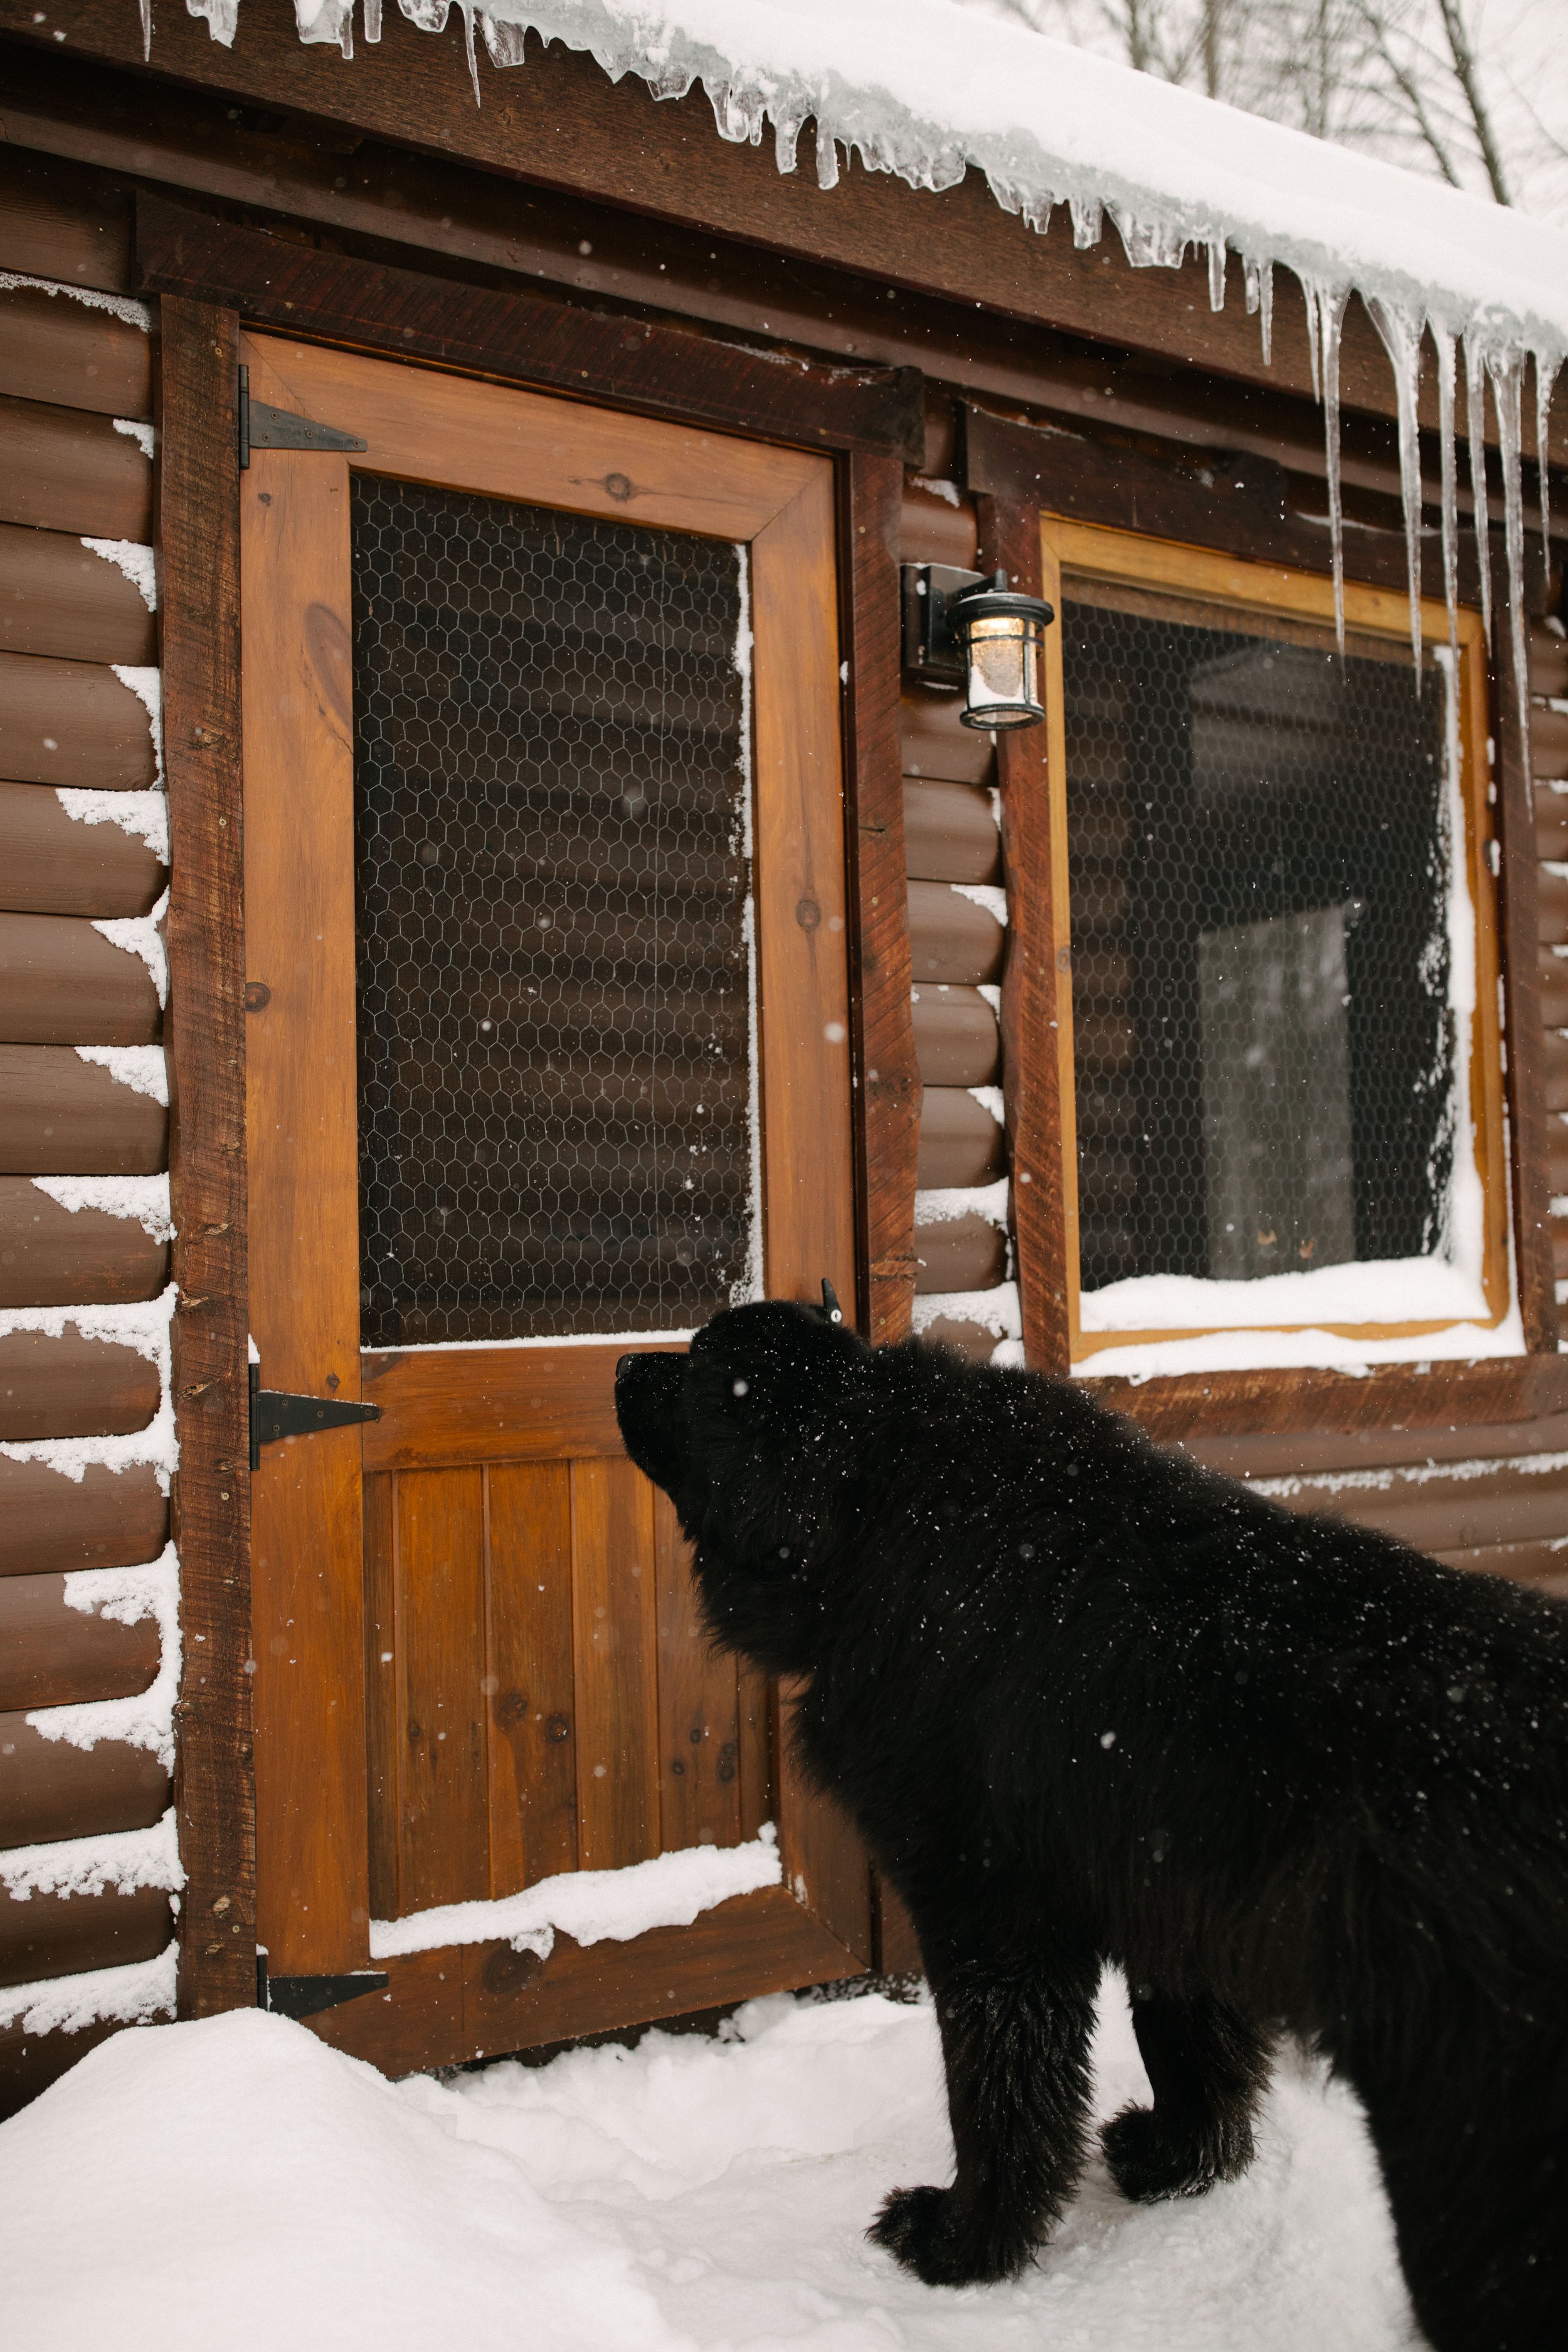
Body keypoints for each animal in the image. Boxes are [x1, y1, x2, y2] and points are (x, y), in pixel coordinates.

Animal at [620, 1308, 1568, 2352]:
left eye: (700, 1369)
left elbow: (1000, 2093)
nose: (619, 1364)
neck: (870, 1501)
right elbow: (1193, 2052)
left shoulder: (988, 1908)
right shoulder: (1166, 1891)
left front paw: (963, 2244)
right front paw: (1179, 2162)